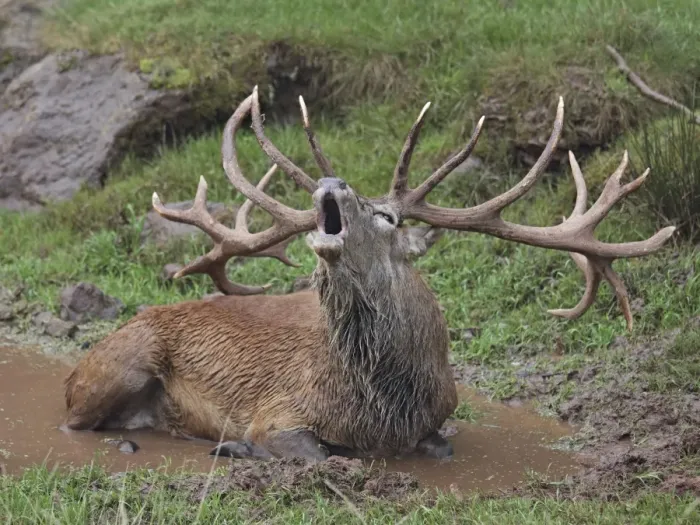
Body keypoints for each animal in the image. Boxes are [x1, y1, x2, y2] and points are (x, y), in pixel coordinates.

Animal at [62, 87, 675, 462]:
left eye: (388, 217)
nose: (329, 183)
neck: (384, 405)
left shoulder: (437, 422)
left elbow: (442, 448)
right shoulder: (277, 412)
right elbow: (311, 453)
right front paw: (236, 448)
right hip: (116, 366)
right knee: (76, 423)